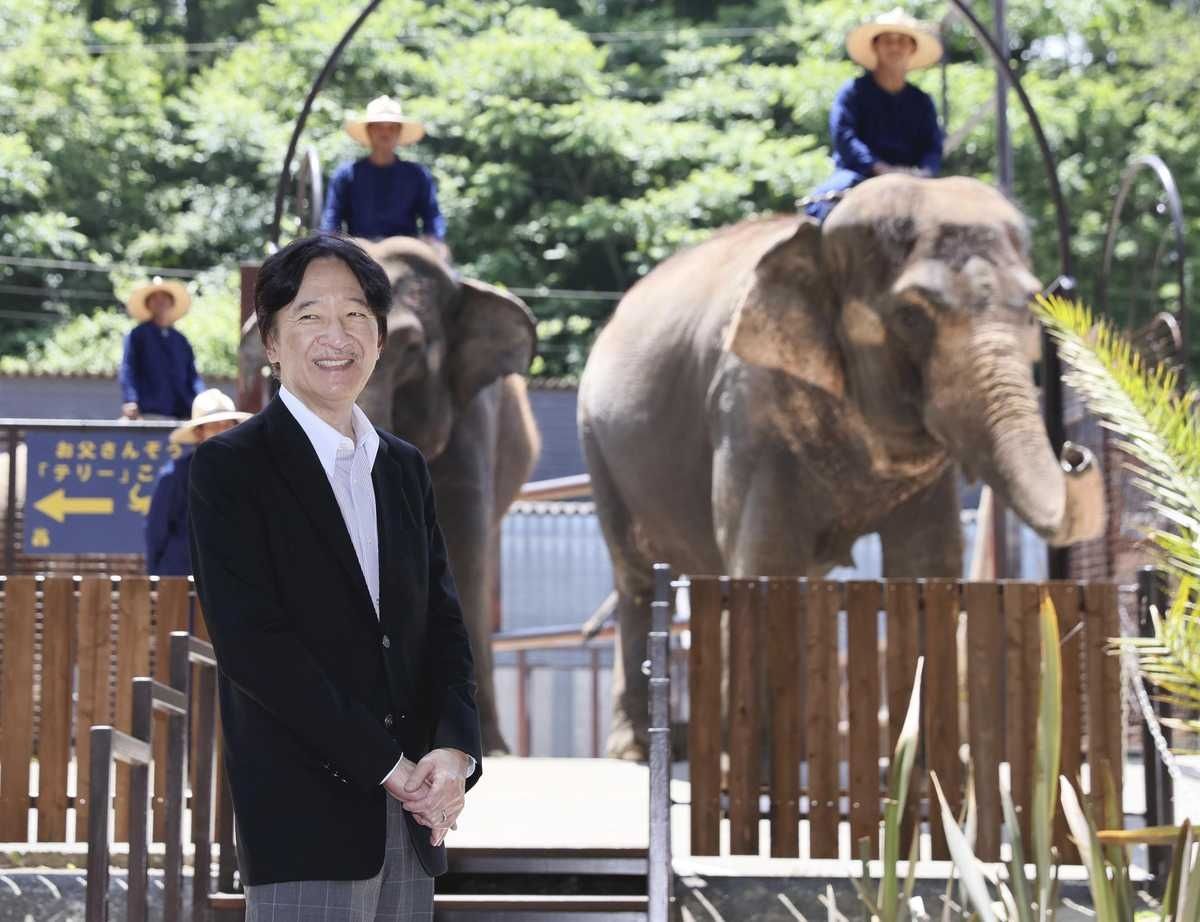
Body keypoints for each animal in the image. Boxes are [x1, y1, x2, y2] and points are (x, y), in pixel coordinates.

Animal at [578, 175, 1105, 760]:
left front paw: (915, 759)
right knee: (637, 577)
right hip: (598, 442)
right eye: (911, 316)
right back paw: (638, 751)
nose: (1074, 453)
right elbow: (767, 558)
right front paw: (768, 760)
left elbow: (926, 562)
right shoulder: (749, 406)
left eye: (1034, 309)